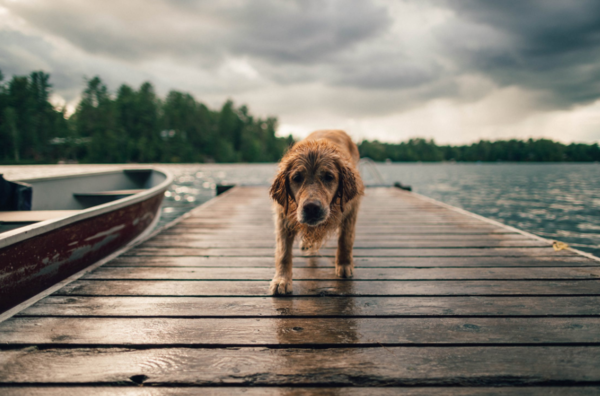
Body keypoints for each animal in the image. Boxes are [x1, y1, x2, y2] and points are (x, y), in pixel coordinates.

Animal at [268, 130, 364, 294]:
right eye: (296, 178)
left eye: (329, 177)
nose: (311, 207)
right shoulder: (283, 216)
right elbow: (283, 252)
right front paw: (281, 280)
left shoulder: (351, 209)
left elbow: (345, 239)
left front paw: (344, 264)